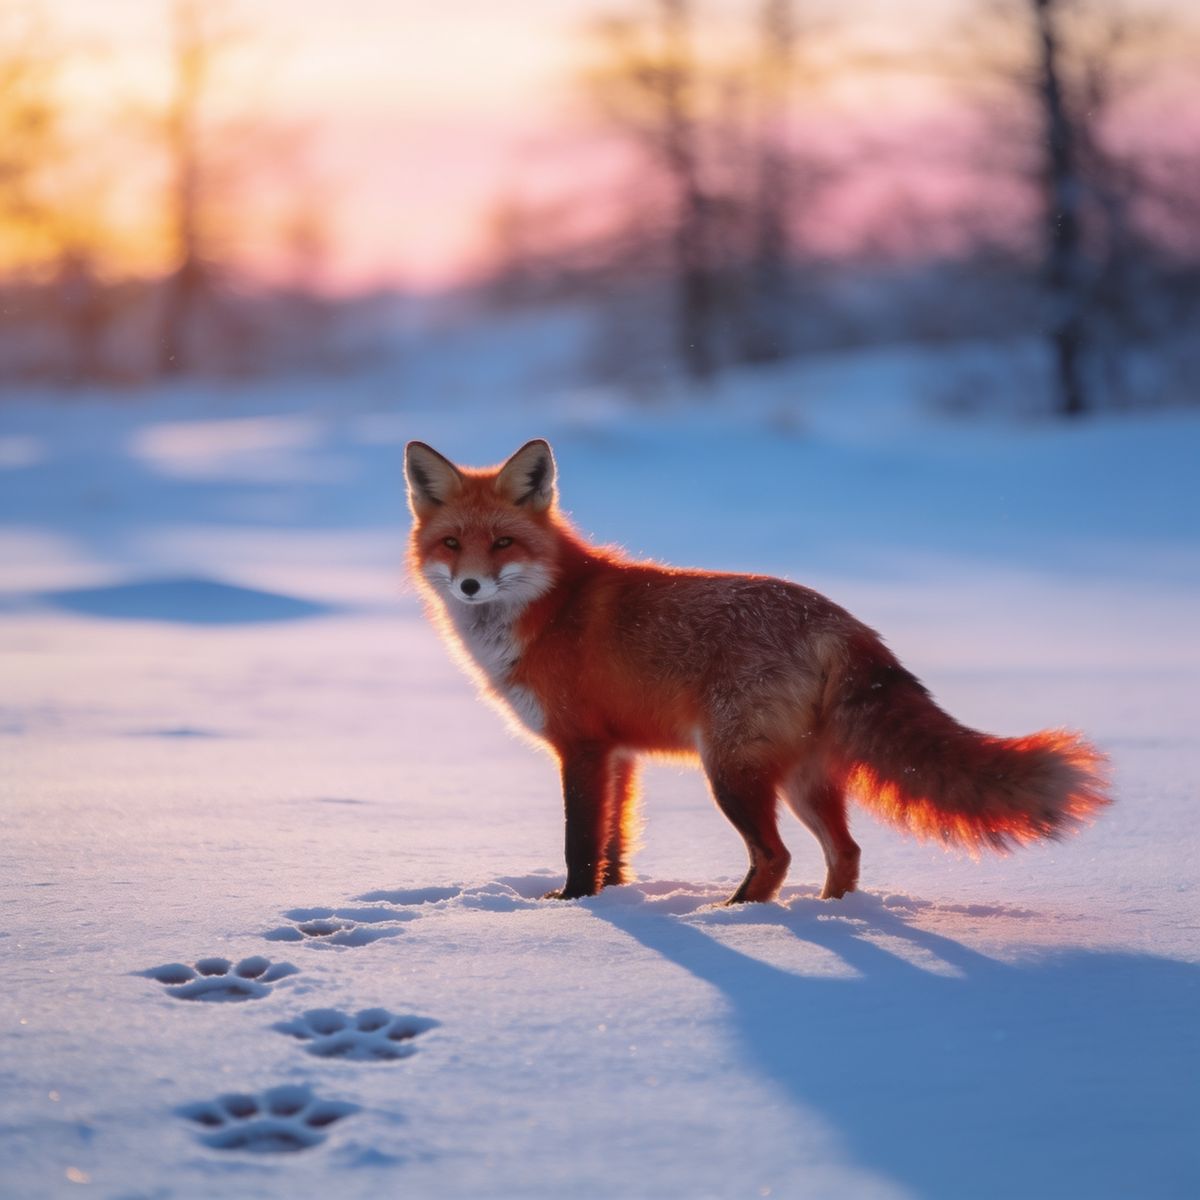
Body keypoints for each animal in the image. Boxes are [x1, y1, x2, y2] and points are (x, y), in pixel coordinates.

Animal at [404, 438, 1109, 904]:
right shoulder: (620, 755)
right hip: (801, 777)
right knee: (845, 853)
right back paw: (831, 918)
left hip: (732, 772)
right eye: (451, 544)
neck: (549, 608)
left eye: (503, 543)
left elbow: (582, 841)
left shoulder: (581, 747)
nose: (469, 586)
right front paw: (616, 900)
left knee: (777, 856)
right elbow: (615, 841)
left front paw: (575, 905)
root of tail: (841, 621)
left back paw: (739, 916)